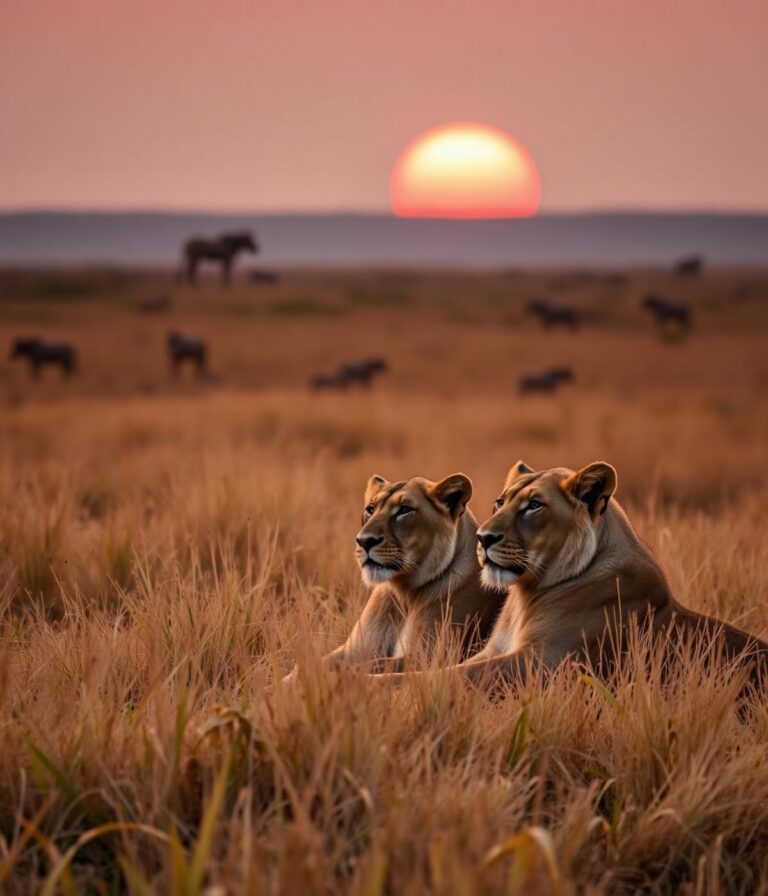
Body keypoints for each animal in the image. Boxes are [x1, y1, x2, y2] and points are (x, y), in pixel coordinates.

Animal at [284, 473, 505, 682]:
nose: (364, 541)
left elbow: (369, 666)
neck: (402, 593)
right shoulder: (355, 648)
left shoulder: (426, 656)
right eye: (370, 509)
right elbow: (317, 662)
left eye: (405, 510)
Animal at [378, 460, 768, 688]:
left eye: (535, 506)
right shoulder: (492, 651)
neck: (525, 595)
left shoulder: (544, 663)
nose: (483, 537)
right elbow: (428, 668)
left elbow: (442, 677)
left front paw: (371, 686)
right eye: (499, 503)